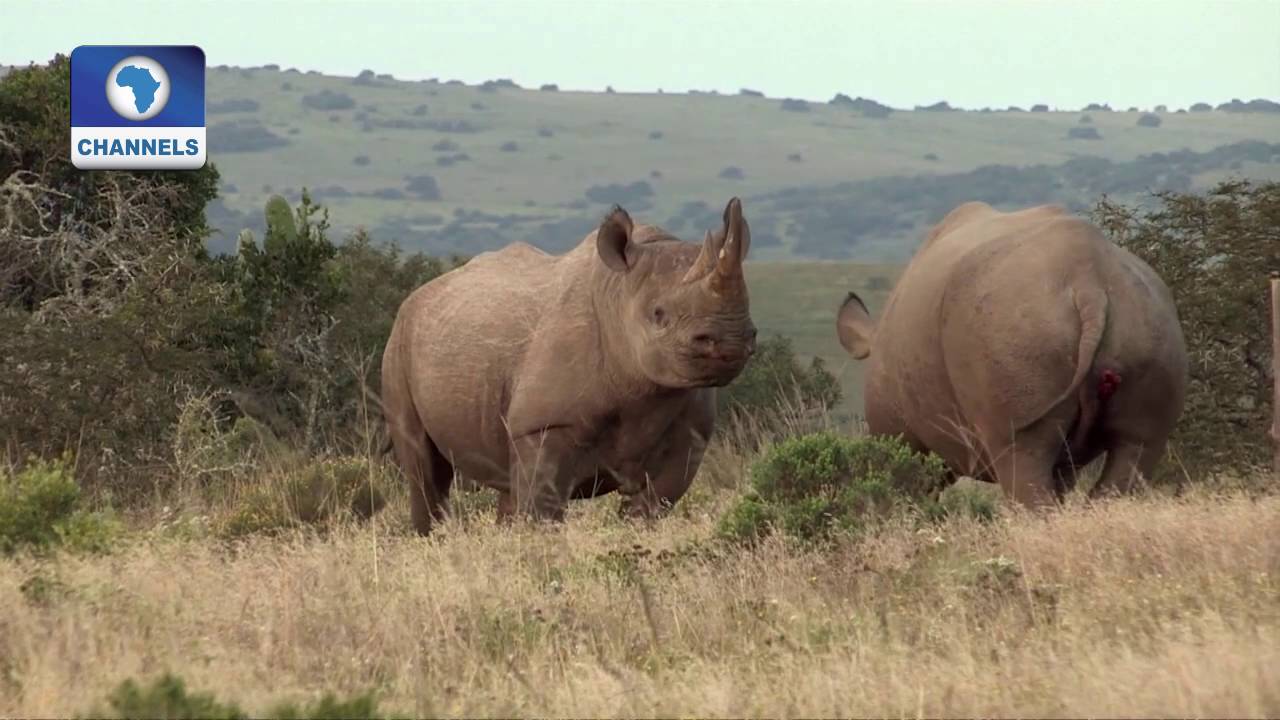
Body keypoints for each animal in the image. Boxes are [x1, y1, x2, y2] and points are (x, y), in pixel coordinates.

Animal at [384, 196, 752, 532]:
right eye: (659, 315)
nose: (732, 339)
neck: (617, 296)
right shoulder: (544, 423)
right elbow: (542, 508)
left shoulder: (690, 431)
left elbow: (653, 503)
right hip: (401, 338)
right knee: (424, 467)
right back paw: (430, 535)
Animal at [839, 199, 1187, 504]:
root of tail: (1090, 283)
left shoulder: (899, 432)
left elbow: (902, 483)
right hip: (1149, 324)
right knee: (1136, 449)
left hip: (1014, 332)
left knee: (1022, 454)